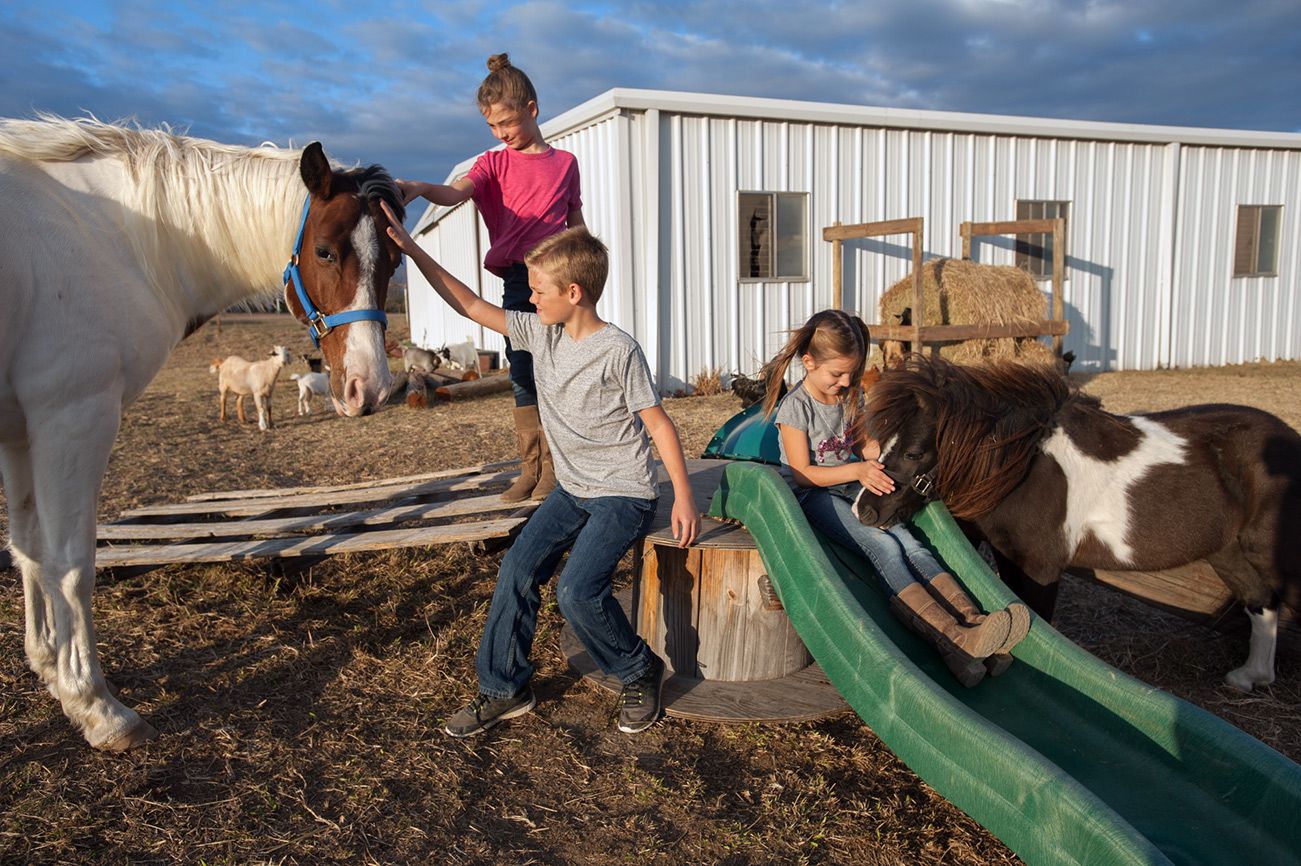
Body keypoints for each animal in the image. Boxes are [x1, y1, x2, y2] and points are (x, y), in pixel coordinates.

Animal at [0, 114, 400, 748]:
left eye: (393, 262)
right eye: (325, 251)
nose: (372, 387)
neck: (110, 235)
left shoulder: (20, 430)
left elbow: (28, 550)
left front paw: (47, 667)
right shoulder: (72, 416)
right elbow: (70, 565)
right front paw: (95, 705)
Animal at [853, 353, 1301, 691]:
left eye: (912, 453)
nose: (864, 510)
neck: (1023, 467)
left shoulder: (1041, 568)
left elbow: (1039, 623)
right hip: (1227, 552)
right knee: (1260, 601)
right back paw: (1249, 677)